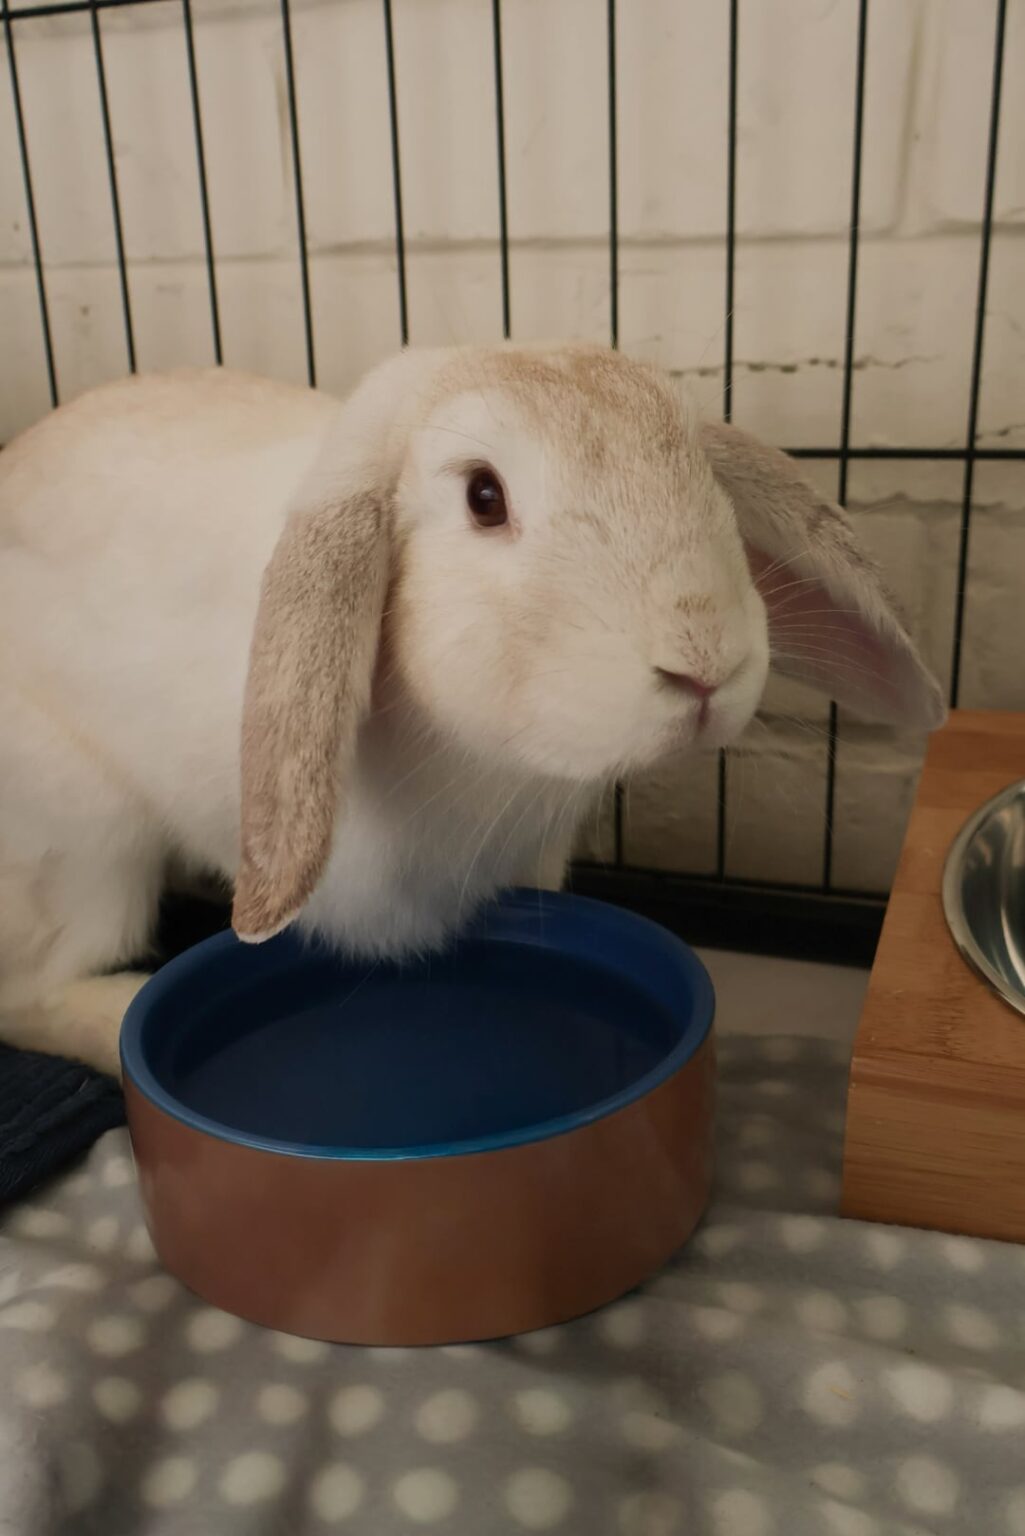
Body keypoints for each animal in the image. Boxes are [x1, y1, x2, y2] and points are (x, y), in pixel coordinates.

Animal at [0, 345, 945, 1076]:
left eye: (702, 476)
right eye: (483, 497)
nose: (705, 662)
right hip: (86, 842)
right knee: (30, 994)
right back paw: (118, 1021)